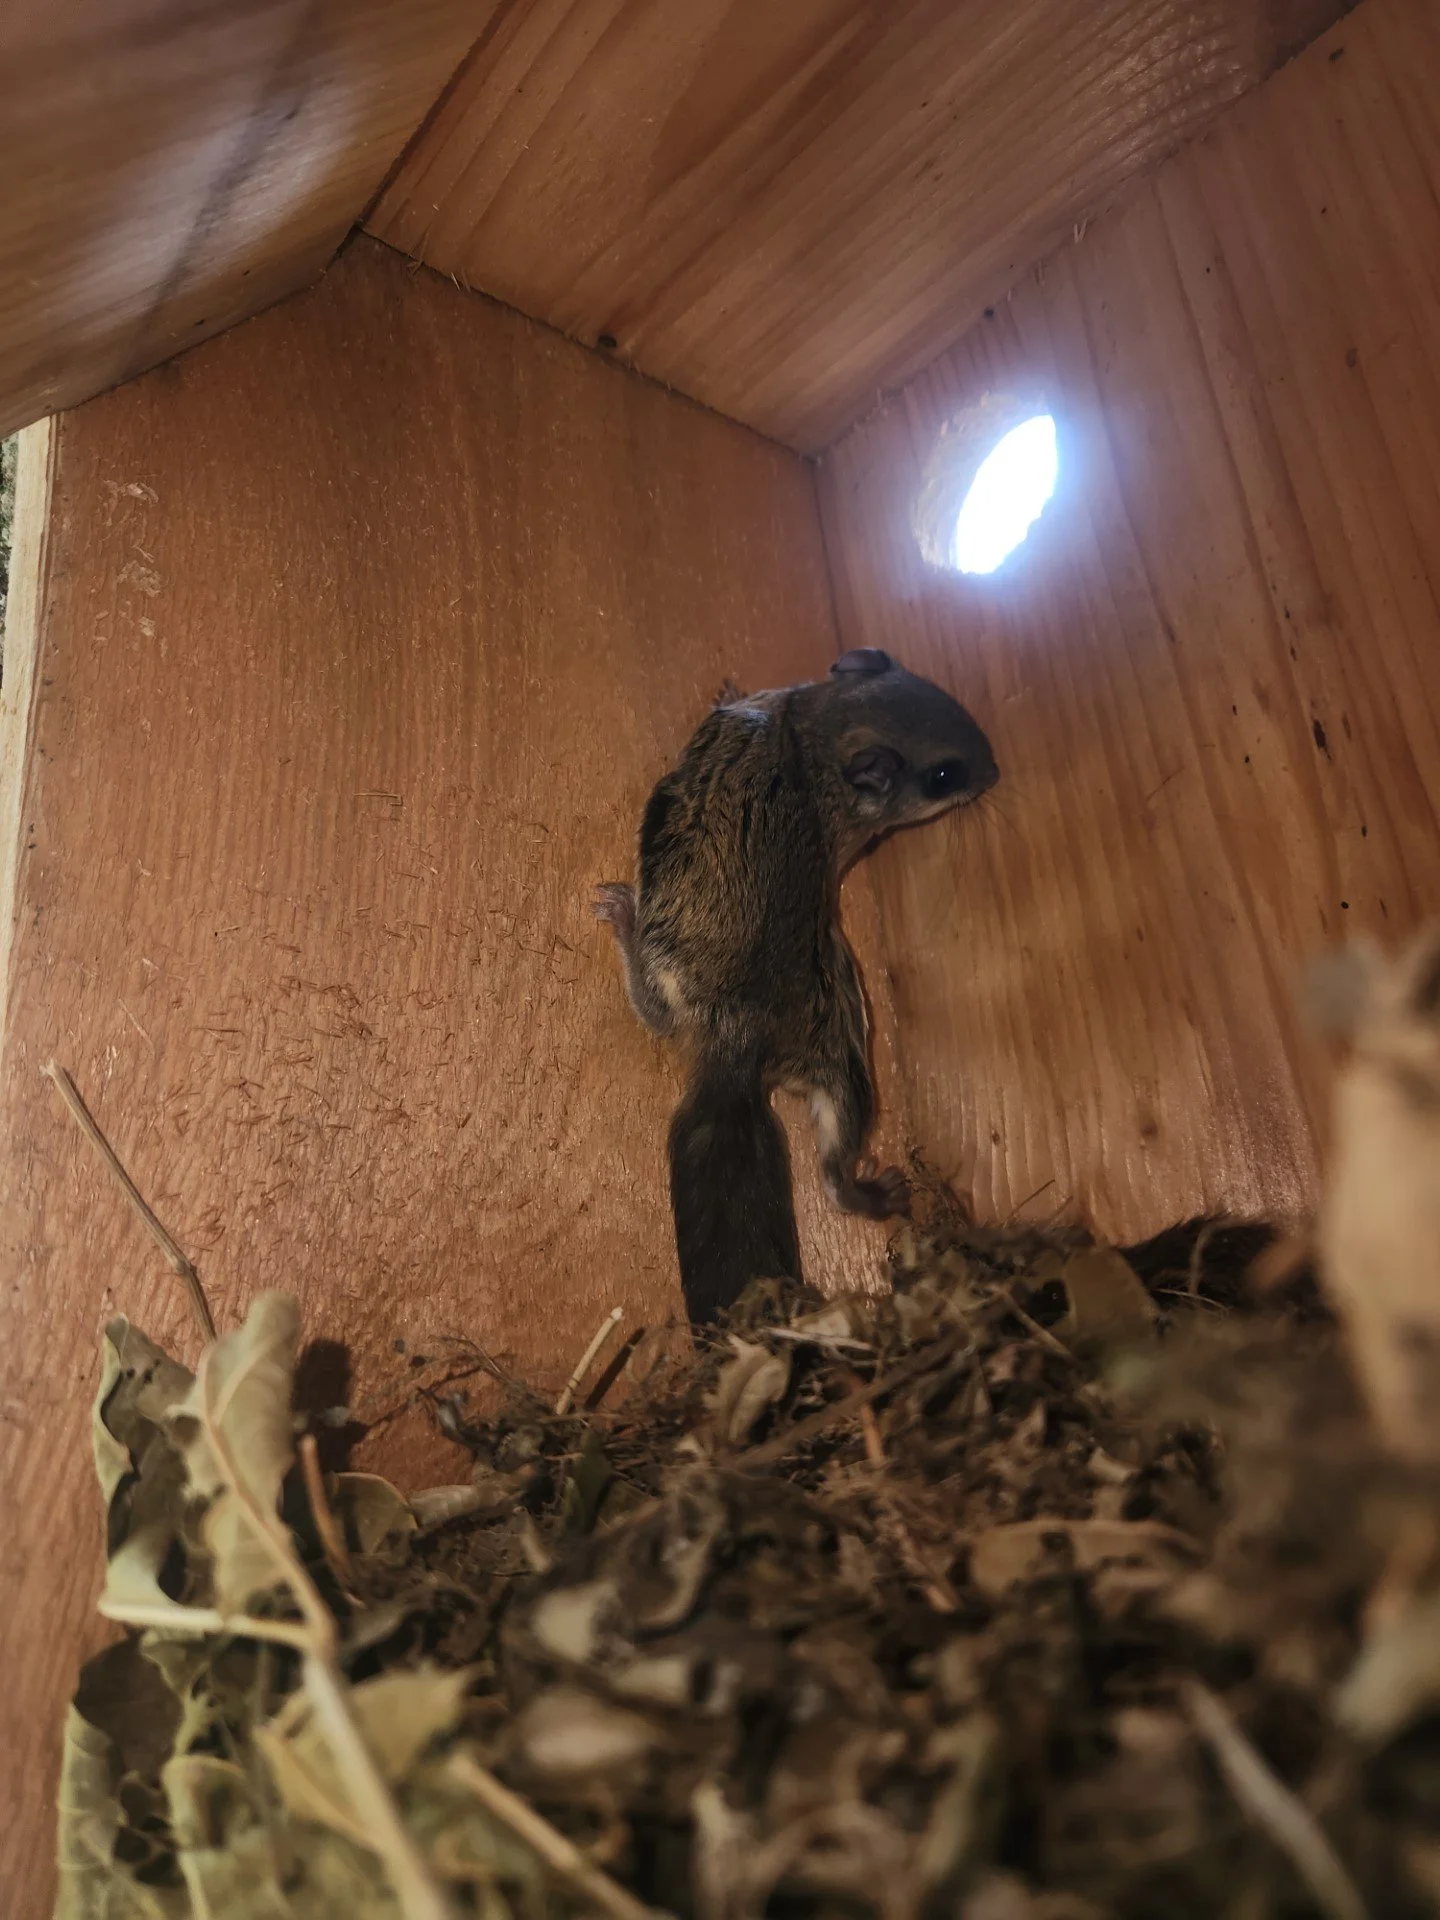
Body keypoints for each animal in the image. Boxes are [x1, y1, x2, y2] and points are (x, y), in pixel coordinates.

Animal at [594, 647, 999, 1325]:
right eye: (946, 774)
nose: (994, 773)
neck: (811, 738)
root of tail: (741, 1040)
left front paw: (723, 690)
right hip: (847, 1056)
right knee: (833, 1173)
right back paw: (876, 1197)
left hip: (671, 961)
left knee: (655, 1010)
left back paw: (623, 917)